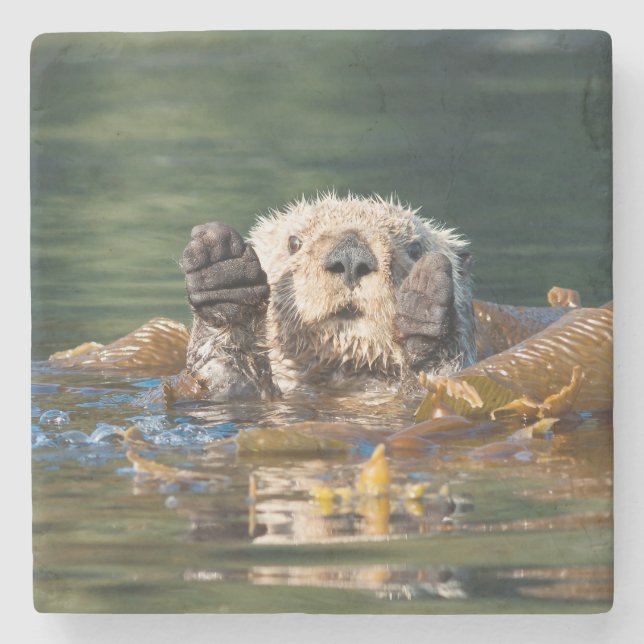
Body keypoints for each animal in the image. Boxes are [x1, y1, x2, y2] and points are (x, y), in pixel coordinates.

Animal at [181, 193, 476, 400]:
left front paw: (423, 312)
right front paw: (223, 273)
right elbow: (224, 377)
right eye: (294, 243)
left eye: (415, 249)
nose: (351, 256)